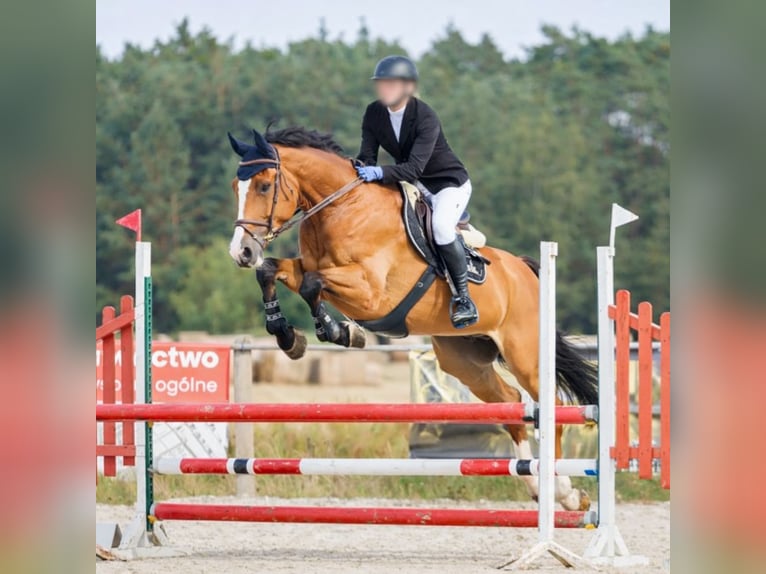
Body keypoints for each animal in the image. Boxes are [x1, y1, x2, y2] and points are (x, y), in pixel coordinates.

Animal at [227, 127, 598, 511]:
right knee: (510, 400)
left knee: (552, 407)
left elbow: (313, 284)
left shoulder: (370, 292)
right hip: (463, 361)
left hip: (525, 355)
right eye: (237, 187)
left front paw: (335, 330)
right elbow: (272, 272)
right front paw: (288, 336)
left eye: (264, 186)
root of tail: (525, 271)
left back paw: (565, 492)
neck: (342, 208)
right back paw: (537, 486)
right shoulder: (310, 269)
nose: (241, 252)